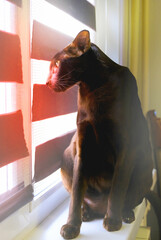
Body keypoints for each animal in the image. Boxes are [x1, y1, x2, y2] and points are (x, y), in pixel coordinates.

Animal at [46, 30, 161, 240]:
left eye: (57, 64)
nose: (47, 82)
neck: (94, 86)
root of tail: (99, 209)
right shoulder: (82, 145)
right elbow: (76, 193)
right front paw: (72, 226)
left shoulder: (126, 146)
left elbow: (117, 188)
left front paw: (113, 220)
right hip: (66, 159)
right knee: (81, 197)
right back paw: (87, 213)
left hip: (144, 165)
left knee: (131, 198)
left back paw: (124, 214)